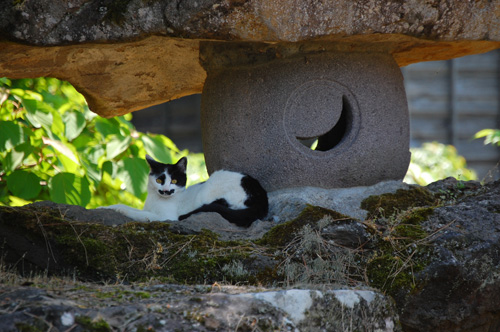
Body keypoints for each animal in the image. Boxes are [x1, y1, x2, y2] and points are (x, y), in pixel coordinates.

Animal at [99, 156, 268, 228]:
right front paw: (105, 208)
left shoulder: (166, 217)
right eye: (159, 180)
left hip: (210, 187)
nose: (166, 191)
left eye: (174, 181)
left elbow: (137, 214)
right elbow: (131, 208)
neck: (156, 201)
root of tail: (261, 197)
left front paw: (117, 210)